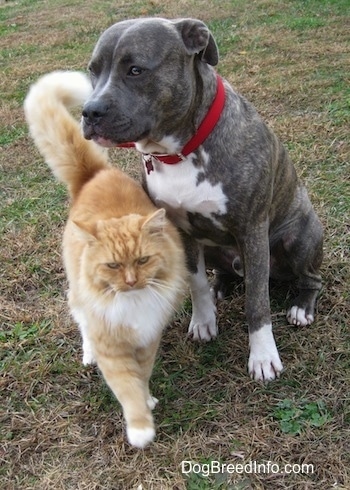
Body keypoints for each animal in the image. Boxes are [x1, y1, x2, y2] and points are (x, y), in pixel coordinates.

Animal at [23, 71, 189, 450]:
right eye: (113, 266)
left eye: (142, 261)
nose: (130, 282)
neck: (133, 302)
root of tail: (95, 173)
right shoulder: (113, 350)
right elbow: (127, 388)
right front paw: (141, 428)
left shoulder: (147, 341)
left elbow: (142, 377)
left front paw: (148, 399)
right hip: (78, 295)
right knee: (81, 319)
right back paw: (87, 354)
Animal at [81, 17, 322, 380]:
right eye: (93, 70)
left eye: (136, 70)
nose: (89, 111)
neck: (179, 152)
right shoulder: (181, 230)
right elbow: (196, 283)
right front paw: (204, 321)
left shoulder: (252, 231)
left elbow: (257, 302)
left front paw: (263, 356)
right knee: (223, 273)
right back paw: (221, 285)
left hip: (298, 238)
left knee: (311, 279)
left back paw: (301, 308)